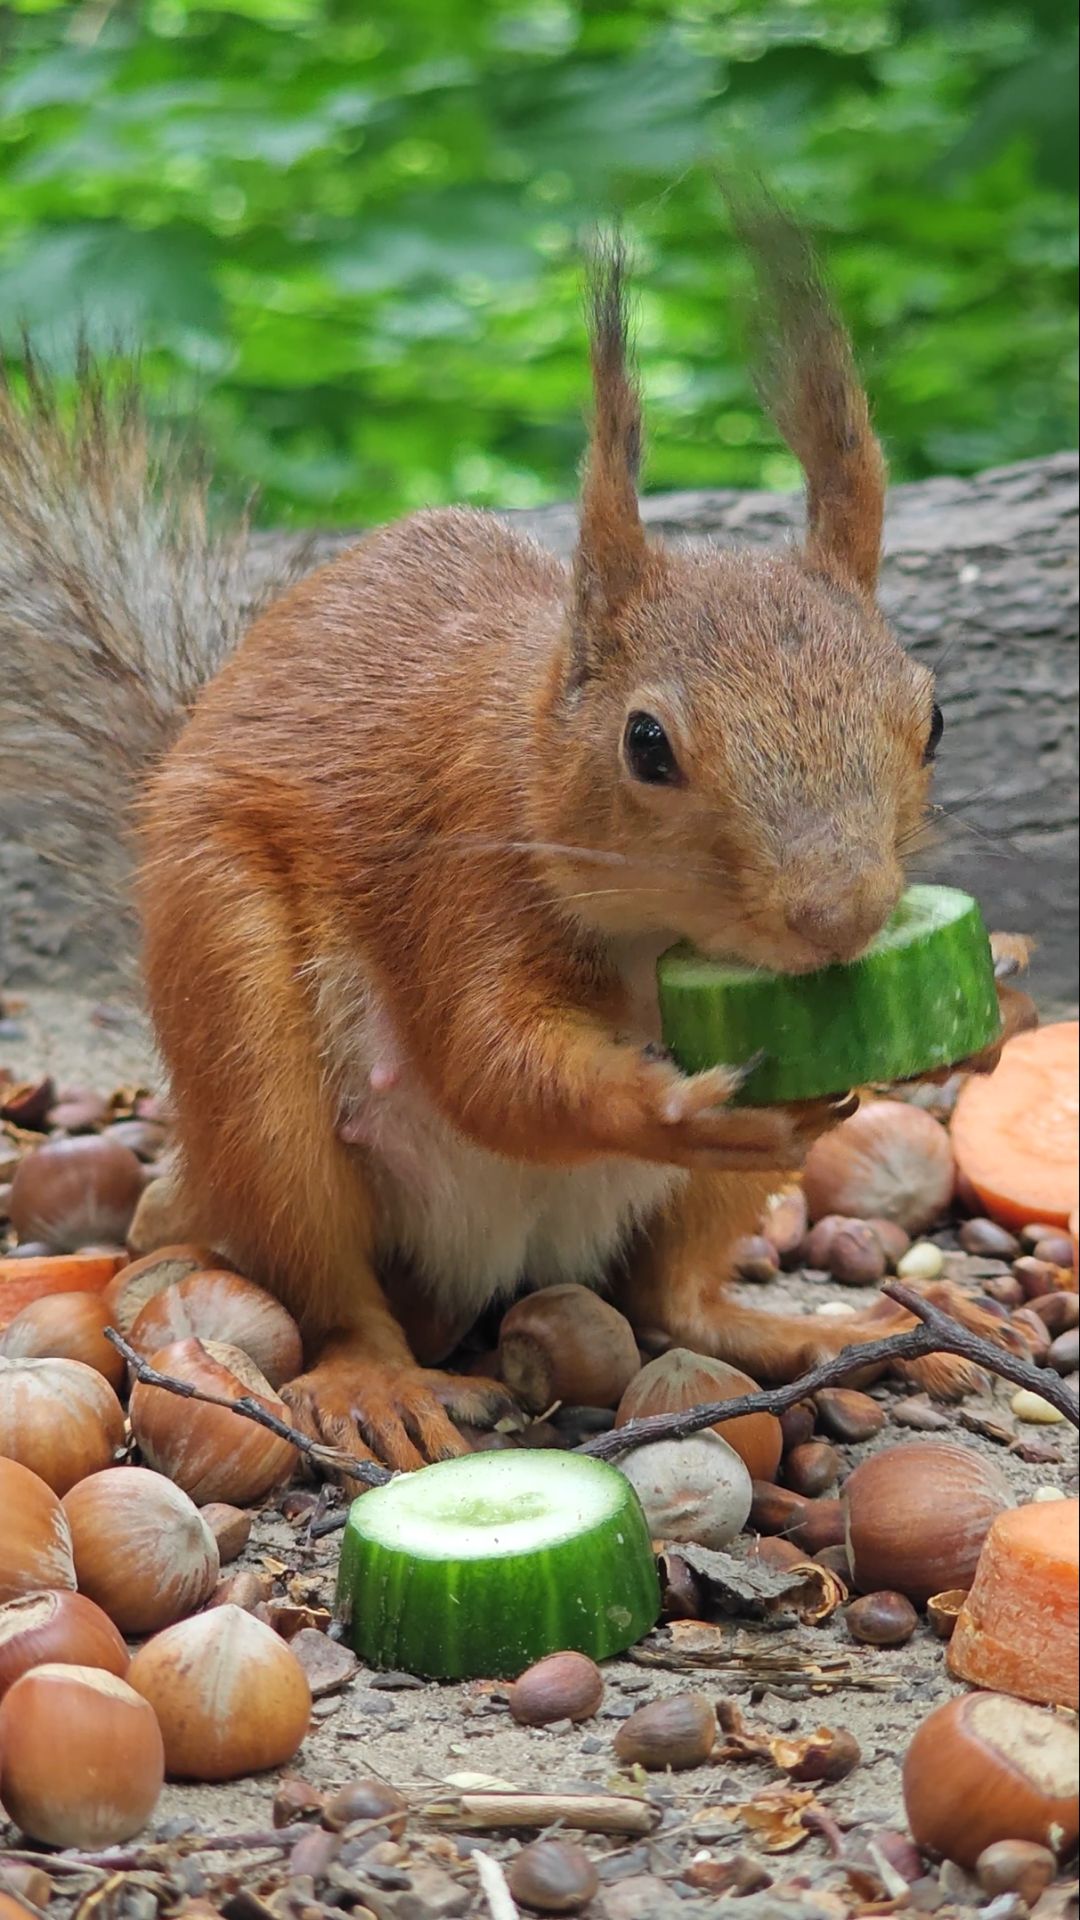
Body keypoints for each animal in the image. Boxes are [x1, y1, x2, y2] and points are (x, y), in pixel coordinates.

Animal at [1, 201, 1033, 1471]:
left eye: (933, 718)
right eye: (647, 744)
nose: (837, 922)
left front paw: (990, 1005)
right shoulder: (458, 861)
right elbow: (490, 1065)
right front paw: (673, 1106)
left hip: (702, 1206)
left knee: (676, 1302)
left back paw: (844, 1333)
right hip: (247, 1047)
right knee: (328, 1280)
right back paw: (380, 1383)